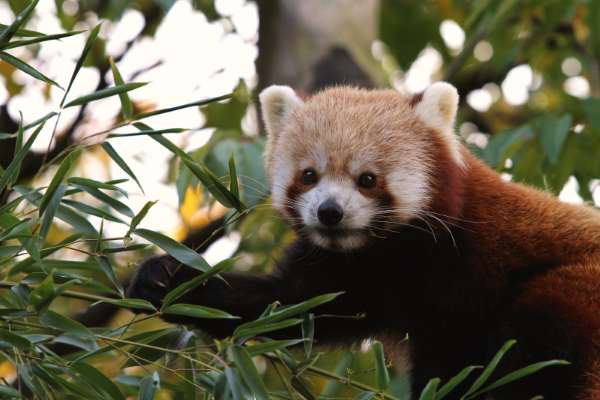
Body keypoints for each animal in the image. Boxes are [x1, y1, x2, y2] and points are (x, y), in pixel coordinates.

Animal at [127, 83, 600, 398]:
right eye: (309, 175)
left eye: (367, 179)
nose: (329, 211)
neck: (386, 254)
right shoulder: (345, 277)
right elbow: (288, 305)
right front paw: (166, 278)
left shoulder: (468, 268)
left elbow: (454, 359)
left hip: (576, 290)